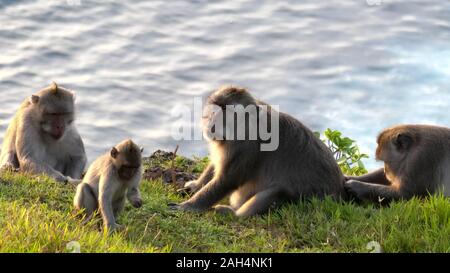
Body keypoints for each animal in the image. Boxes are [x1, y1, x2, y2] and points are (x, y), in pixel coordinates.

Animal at [169, 86, 344, 216]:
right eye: (213, 110)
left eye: (225, 113)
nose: (210, 121)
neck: (244, 126)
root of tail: (338, 191)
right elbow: (216, 165)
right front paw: (196, 186)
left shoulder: (248, 147)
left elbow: (228, 179)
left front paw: (188, 206)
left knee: (277, 192)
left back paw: (234, 214)